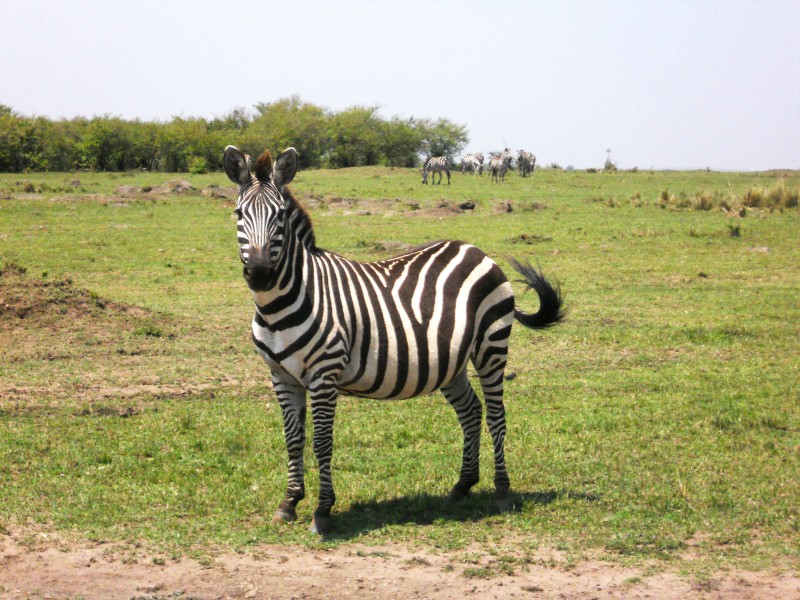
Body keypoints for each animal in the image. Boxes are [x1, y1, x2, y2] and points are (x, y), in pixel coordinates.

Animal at [222, 144, 564, 536]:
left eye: (278, 216)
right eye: (238, 213)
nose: (260, 274)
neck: (279, 305)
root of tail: (476, 250)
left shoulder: (324, 375)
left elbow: (322, 442)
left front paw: (322, 511)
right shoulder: (281, 376)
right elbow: (293, 439)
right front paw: (289, 502)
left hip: (491, 347)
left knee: (496, 414)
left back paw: (503, 493)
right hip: (452, 363)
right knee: (471, 411)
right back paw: (462, 486)